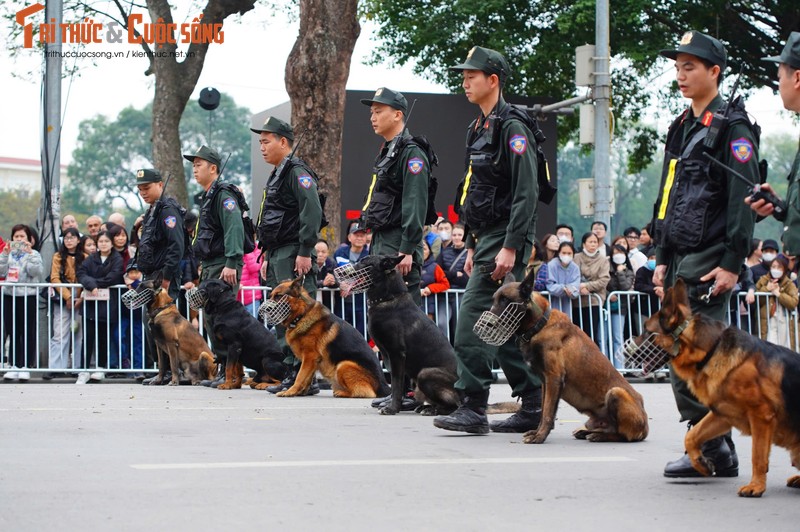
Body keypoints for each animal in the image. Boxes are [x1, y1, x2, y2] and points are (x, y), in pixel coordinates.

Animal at [262, 276, 390, 396]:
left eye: (279, 296)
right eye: (271, 296)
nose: (265, 310)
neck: (302, 315)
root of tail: (384, 386)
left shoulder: (309, 356)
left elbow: (300, 376)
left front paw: (290, 391)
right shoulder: (312, 361)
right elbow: (307, 378)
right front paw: (302, 392)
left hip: (344, 365)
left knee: (366, 392)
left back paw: (342, 393)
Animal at [342, 256, 456, 418]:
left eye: (365, 262)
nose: (343, 271)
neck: (388, 298)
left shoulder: (397, 355)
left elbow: (397, 385)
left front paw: (392, 408)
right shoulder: (389, 356)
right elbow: (398, 384)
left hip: (425, 373)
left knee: (455, 405)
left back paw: (433, 410)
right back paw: (425, 407)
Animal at [478, 270, 648, 444]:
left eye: (505, 300)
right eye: (494, 299)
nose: (485, 325)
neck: (540, 325)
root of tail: (645, 427)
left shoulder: (554, 378)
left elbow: (548, 412)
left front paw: (540, 436)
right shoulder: (545, 382)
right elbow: (543, 410)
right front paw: (537, 432)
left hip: (616, 392)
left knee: (621, 435)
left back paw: (599, 436)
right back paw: (586, 432)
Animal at [632, 278, 800, 498]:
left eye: (645, 330)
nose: (625, 353)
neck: (710, 351)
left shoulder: (761, 416)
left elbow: (757, 455)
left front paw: (756, 486)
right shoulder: (722, 414)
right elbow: (691, 436)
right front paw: (701, 463)